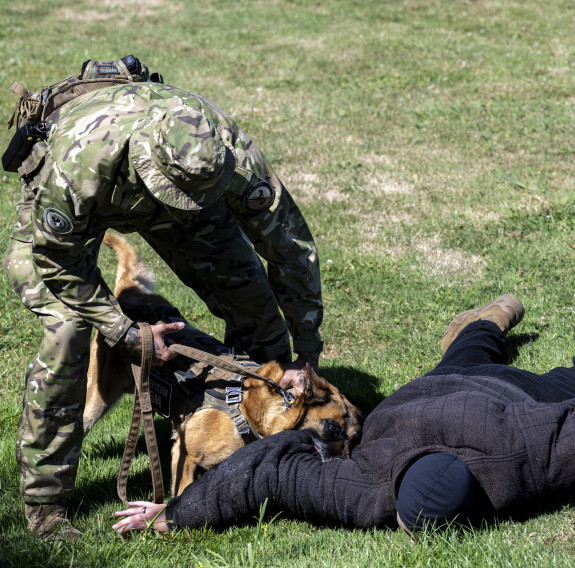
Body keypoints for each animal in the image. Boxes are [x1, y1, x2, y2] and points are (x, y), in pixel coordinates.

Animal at [84, 233, 364, 494]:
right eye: (331, 428)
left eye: (353, 439)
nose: (343, 467)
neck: (252, 410)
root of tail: (129, 296)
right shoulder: (184, 454)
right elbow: (180, 493)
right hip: (95, 402)